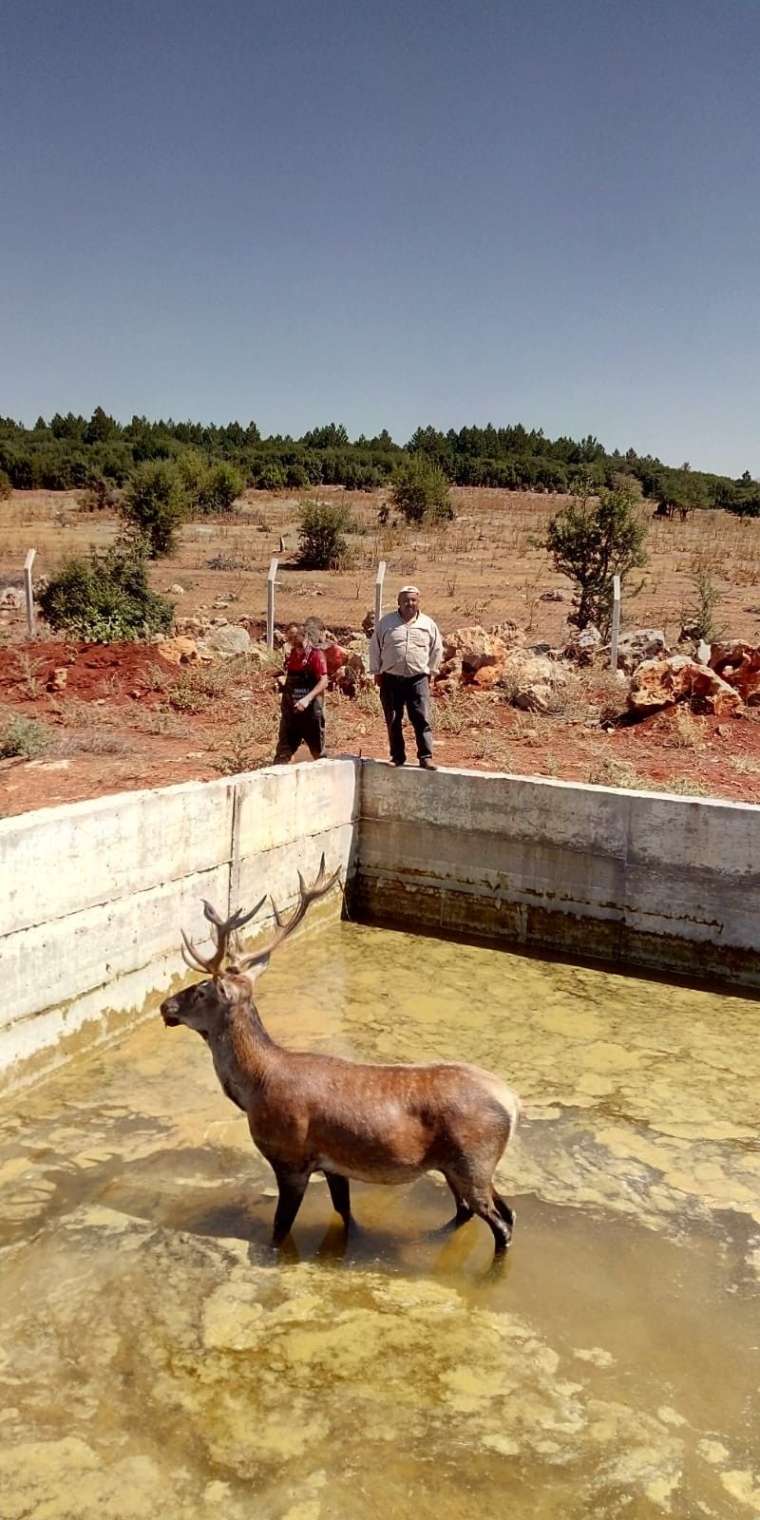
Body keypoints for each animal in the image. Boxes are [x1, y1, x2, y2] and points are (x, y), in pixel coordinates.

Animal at [157, 863, 519, 1252]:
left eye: (201, 990)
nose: (165, 1006)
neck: (254, 1088)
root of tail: (513, 1102)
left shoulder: (291, 1158)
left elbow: (280, 1230)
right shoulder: (333, 1165)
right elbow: (345, 1213)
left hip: (472, 1160)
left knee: (500, 1223)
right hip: (465, 1168)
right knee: (491, 1211)